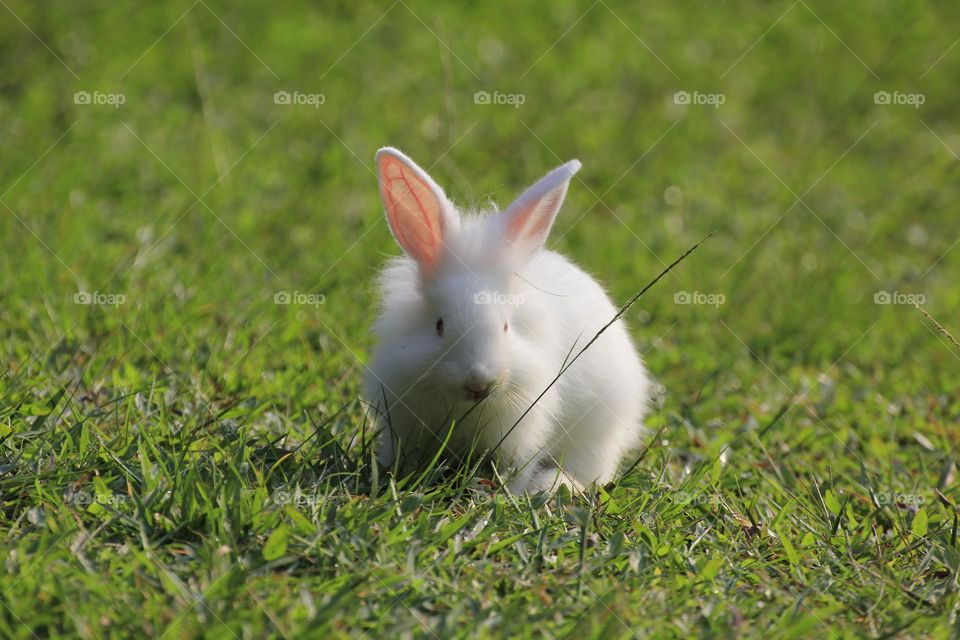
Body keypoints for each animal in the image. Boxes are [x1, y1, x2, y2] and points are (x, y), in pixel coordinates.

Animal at [365, 147, 652, 494]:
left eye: (506, 326)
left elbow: (517, 468)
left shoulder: (522, 432)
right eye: (439, 325)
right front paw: (391, 478)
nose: (479, 384)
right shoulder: (401, 422)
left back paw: (555, 485)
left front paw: (509, 494)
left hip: (599, 431)